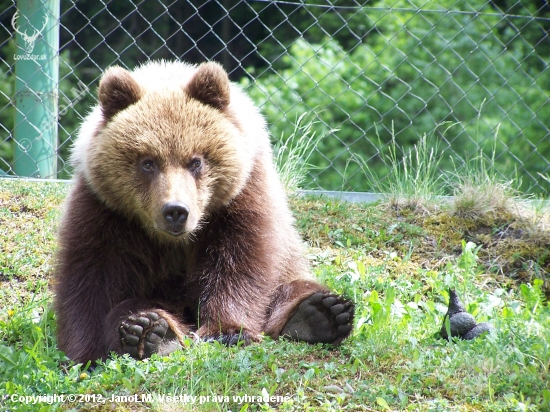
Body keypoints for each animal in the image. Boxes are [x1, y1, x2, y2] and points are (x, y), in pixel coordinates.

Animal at [54, 59, 356, 362]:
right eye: (148, 162)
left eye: (196, 161)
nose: (176, 211)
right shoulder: (106, 210)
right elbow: (90, 276)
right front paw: (85, 353)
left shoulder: (240, 196)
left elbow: (239, 259)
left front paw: (227, 331)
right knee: (131, 307)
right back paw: (151, 330)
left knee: (296, 288)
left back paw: (318, 314)